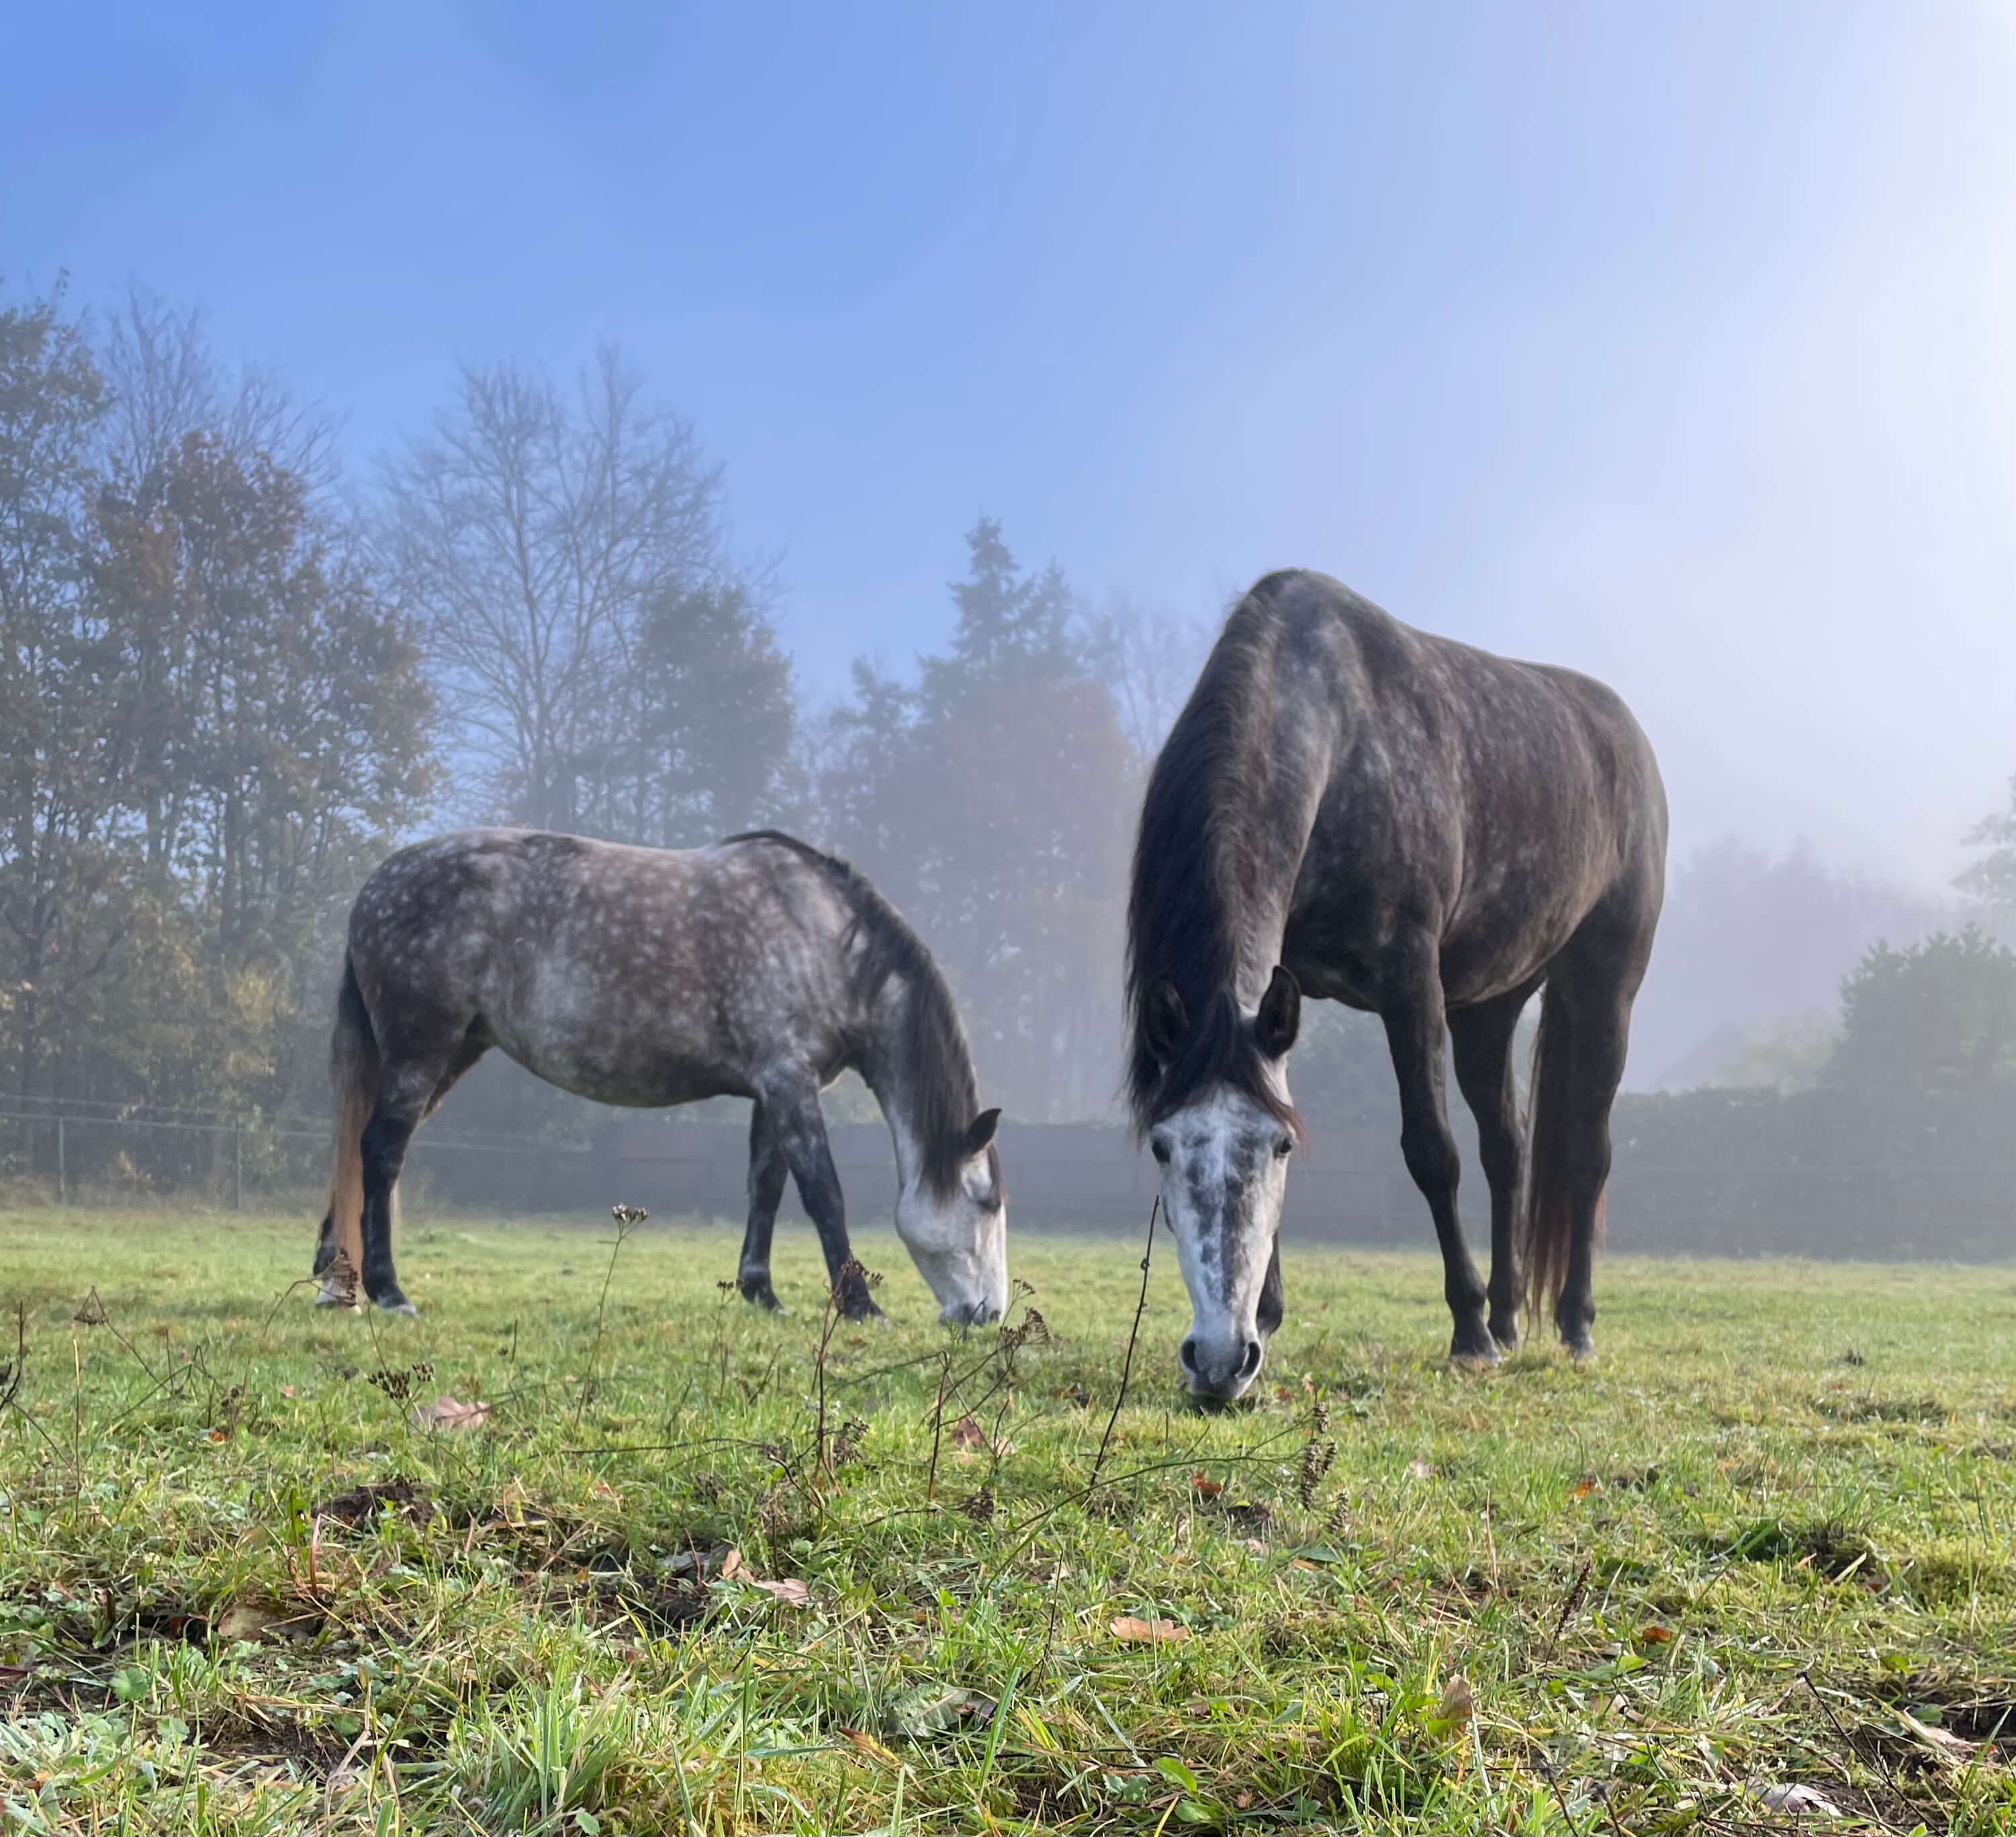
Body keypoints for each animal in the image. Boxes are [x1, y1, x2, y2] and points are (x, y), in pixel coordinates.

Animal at [311, 828, 1008, 1325]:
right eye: (985, 1201)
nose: (988, 1315)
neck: (825, 940)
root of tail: (375, 888)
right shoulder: (790, 1081)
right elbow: (823, 1193)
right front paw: (860, 1303)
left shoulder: (771, 1087)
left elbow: (766, 1187)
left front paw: (762, 1292)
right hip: (421, 1052)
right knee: (381, 1152)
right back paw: (387, 1289)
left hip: (451, 1053)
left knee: (359, 1155)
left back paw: (333, 1276)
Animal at [1126, 570, 1666, 1402]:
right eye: (1161, 1142)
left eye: (1277, 1147)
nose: (1217, 1360)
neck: (1335, 733)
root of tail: (1627, 735)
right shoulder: (1281, 1005)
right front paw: (1270, 1320)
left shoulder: (1409, 981)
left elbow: (1430, 1151)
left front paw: (1467, 1333)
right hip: (1487, 1008)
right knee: (1507, 1149)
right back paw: (1510, 1318)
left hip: (1604, 986)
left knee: (1584, 1152)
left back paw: (1569, 1326)